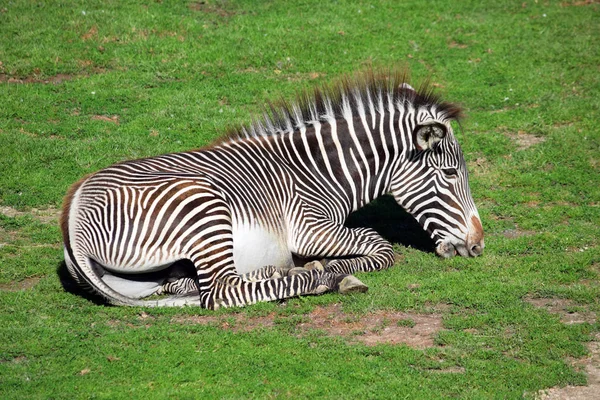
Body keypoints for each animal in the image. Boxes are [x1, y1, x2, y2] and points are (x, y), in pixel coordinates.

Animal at [61, 69, 482, 310]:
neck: (318, 170)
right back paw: (322, 279)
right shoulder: (309, 227)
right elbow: (381, 246)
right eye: (449, 174)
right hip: (203, 208)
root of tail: (73, 214)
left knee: (188, 281)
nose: (478, 246)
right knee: (220, 291)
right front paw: (333, 268)